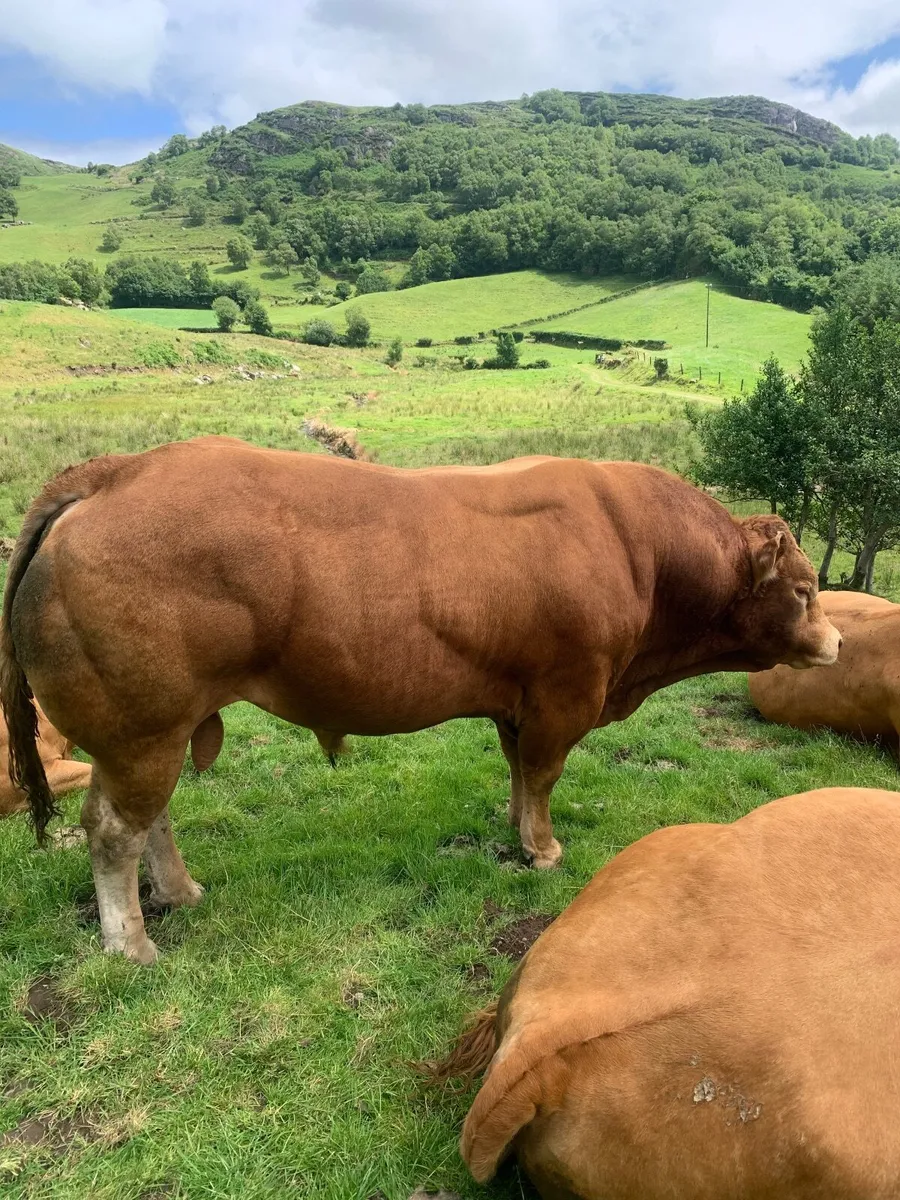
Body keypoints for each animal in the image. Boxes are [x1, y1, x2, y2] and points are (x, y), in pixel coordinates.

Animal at [0, 437, 839, 964]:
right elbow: (544, 773)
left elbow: (518, 770)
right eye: (804, 590)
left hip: (154, 732)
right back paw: (132, 942)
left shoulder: (519, 698)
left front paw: (515, 829)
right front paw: (543, 849)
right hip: (139, 729)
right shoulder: (568, 690)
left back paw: (179, 892)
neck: (641, 549)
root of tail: (116, 471)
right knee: (114, 830)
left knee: (150, 820)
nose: (836, 642)